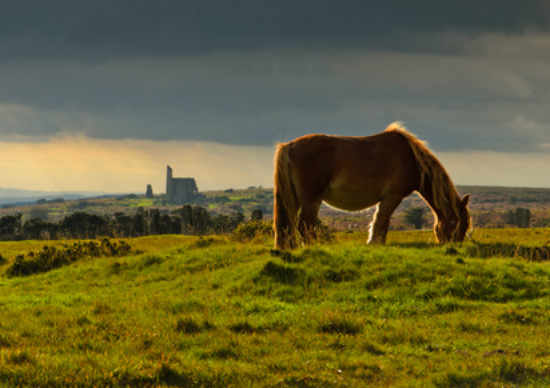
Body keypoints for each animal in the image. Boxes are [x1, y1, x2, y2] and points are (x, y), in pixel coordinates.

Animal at [274, 123, 472, 250]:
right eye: (457, 223)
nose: (455, 246)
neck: (411, 159)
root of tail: (289, 146)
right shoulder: (392, 197)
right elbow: (381, 221)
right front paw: (375, 243)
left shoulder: (385, 199)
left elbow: (382, 222)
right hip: (311, 200)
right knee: (304, 226)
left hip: (295, 199)